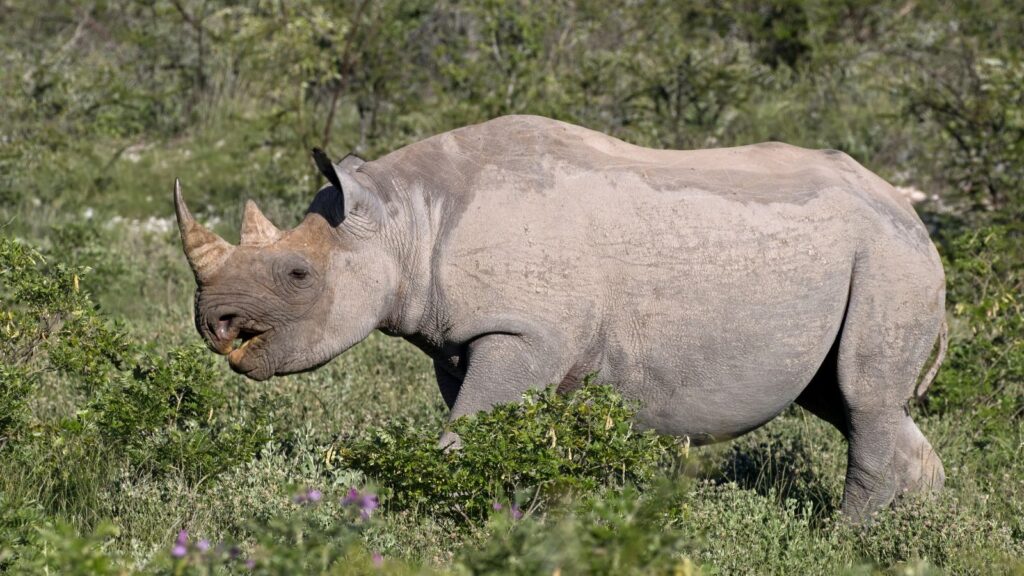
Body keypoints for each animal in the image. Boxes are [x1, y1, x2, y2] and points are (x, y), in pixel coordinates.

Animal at [173, 115, 947, 522]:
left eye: (298, 275)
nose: (214, 324)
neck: (405, 218)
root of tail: (912, 214)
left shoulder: (520, 329)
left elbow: (466, 432)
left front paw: (445, 514)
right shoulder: (462, 340)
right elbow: (492, 427)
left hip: (890, 260)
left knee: (863, 399)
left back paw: (843, 537)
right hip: (877, 256)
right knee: (846, 400)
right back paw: (917, 532)